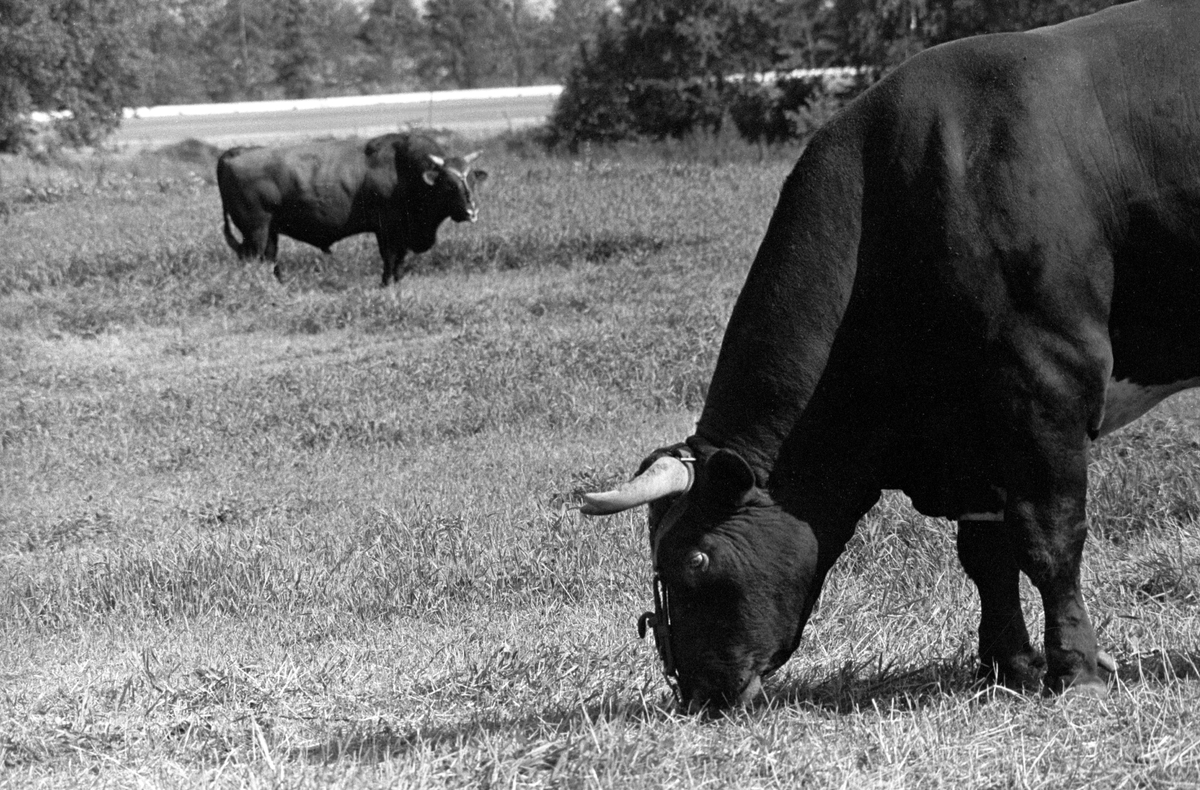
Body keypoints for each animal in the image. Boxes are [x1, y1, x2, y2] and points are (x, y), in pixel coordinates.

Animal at [216, 131, 487, 283]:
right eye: (449, 185)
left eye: (472, 180)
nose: (472, 211)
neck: (403, 169)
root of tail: (234, 152)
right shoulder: (386, 230)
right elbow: (390, 259)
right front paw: (386, 284)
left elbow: (399, 261)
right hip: (256, 232)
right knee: (254, 260)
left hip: (270, 232)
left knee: (270, 261)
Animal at [580, 0, 1200, 710]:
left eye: (695, 561)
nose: (696, 694)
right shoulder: (973, 430)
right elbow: (985, 554)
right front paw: (1007, 668)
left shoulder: (1047, 384)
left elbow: (1049, 540)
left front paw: (1076, 671)